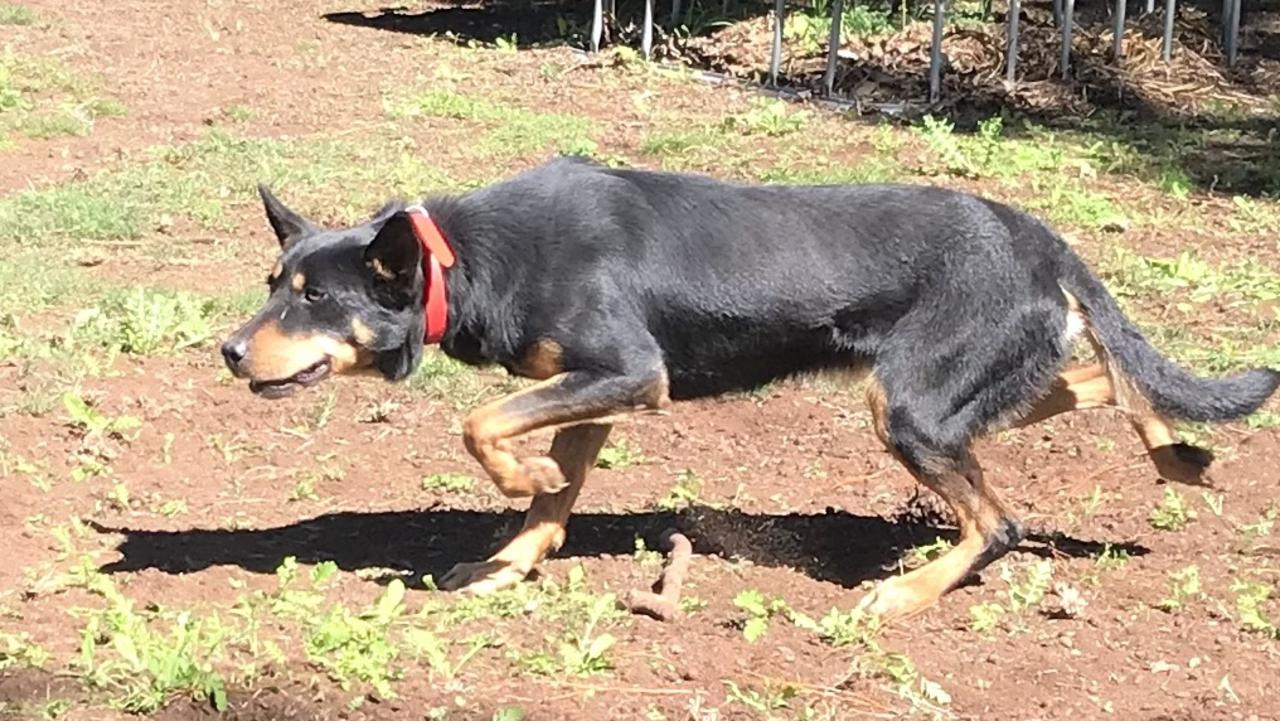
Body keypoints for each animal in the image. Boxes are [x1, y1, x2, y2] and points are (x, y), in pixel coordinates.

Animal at [222, 158, 1280, 619]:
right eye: (274, 282)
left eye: (316, 298)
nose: (228, 353)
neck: (466, 260)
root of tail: (1041, 238)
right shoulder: (596, 390)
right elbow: (554, 495)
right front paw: (509, 558)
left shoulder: (627, 373)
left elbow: (484, 424)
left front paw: (517, 481)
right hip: (956, 390)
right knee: (1101, 374)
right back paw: (1179, 454)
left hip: (908, 407)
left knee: (1002, 521)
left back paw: (904, 594)